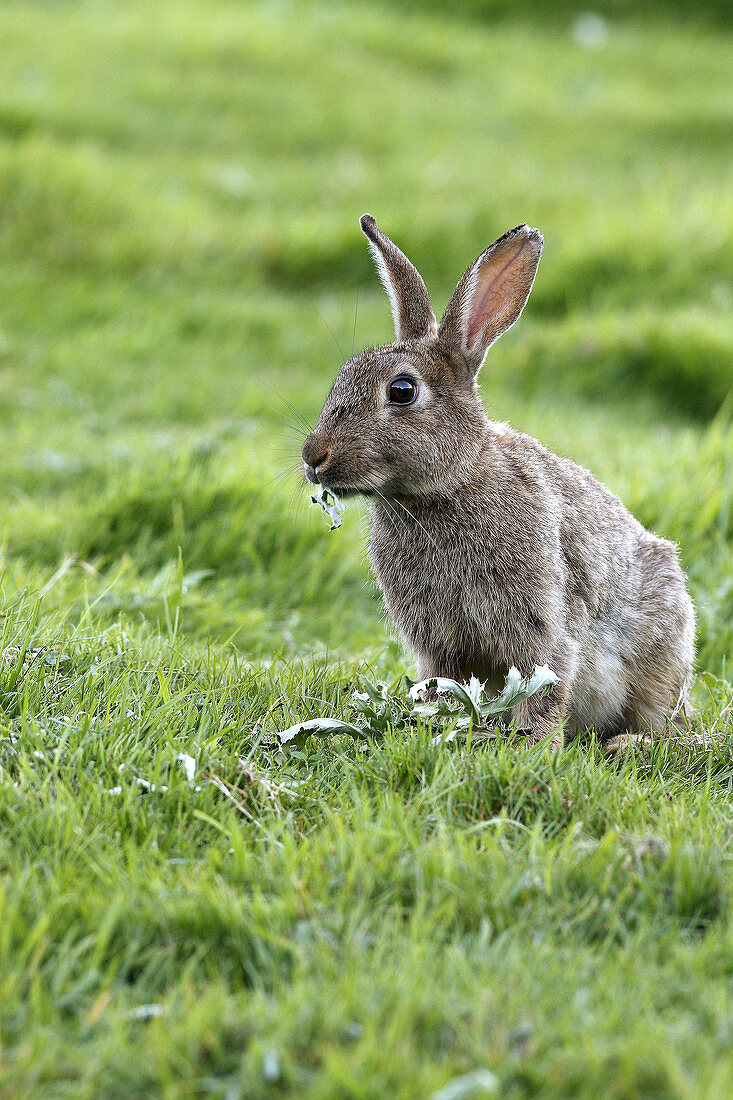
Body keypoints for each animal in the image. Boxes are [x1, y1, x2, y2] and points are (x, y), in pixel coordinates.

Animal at [299, 214, 695, 748]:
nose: (313, 456)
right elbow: (442, 686)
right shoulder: (439, 645)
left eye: (401, 391)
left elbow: (545, 688)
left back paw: (627, 744)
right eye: (342, 376)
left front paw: (535, 748)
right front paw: (437, 723)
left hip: (662, 649)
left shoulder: (541, 626)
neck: (451, 484)